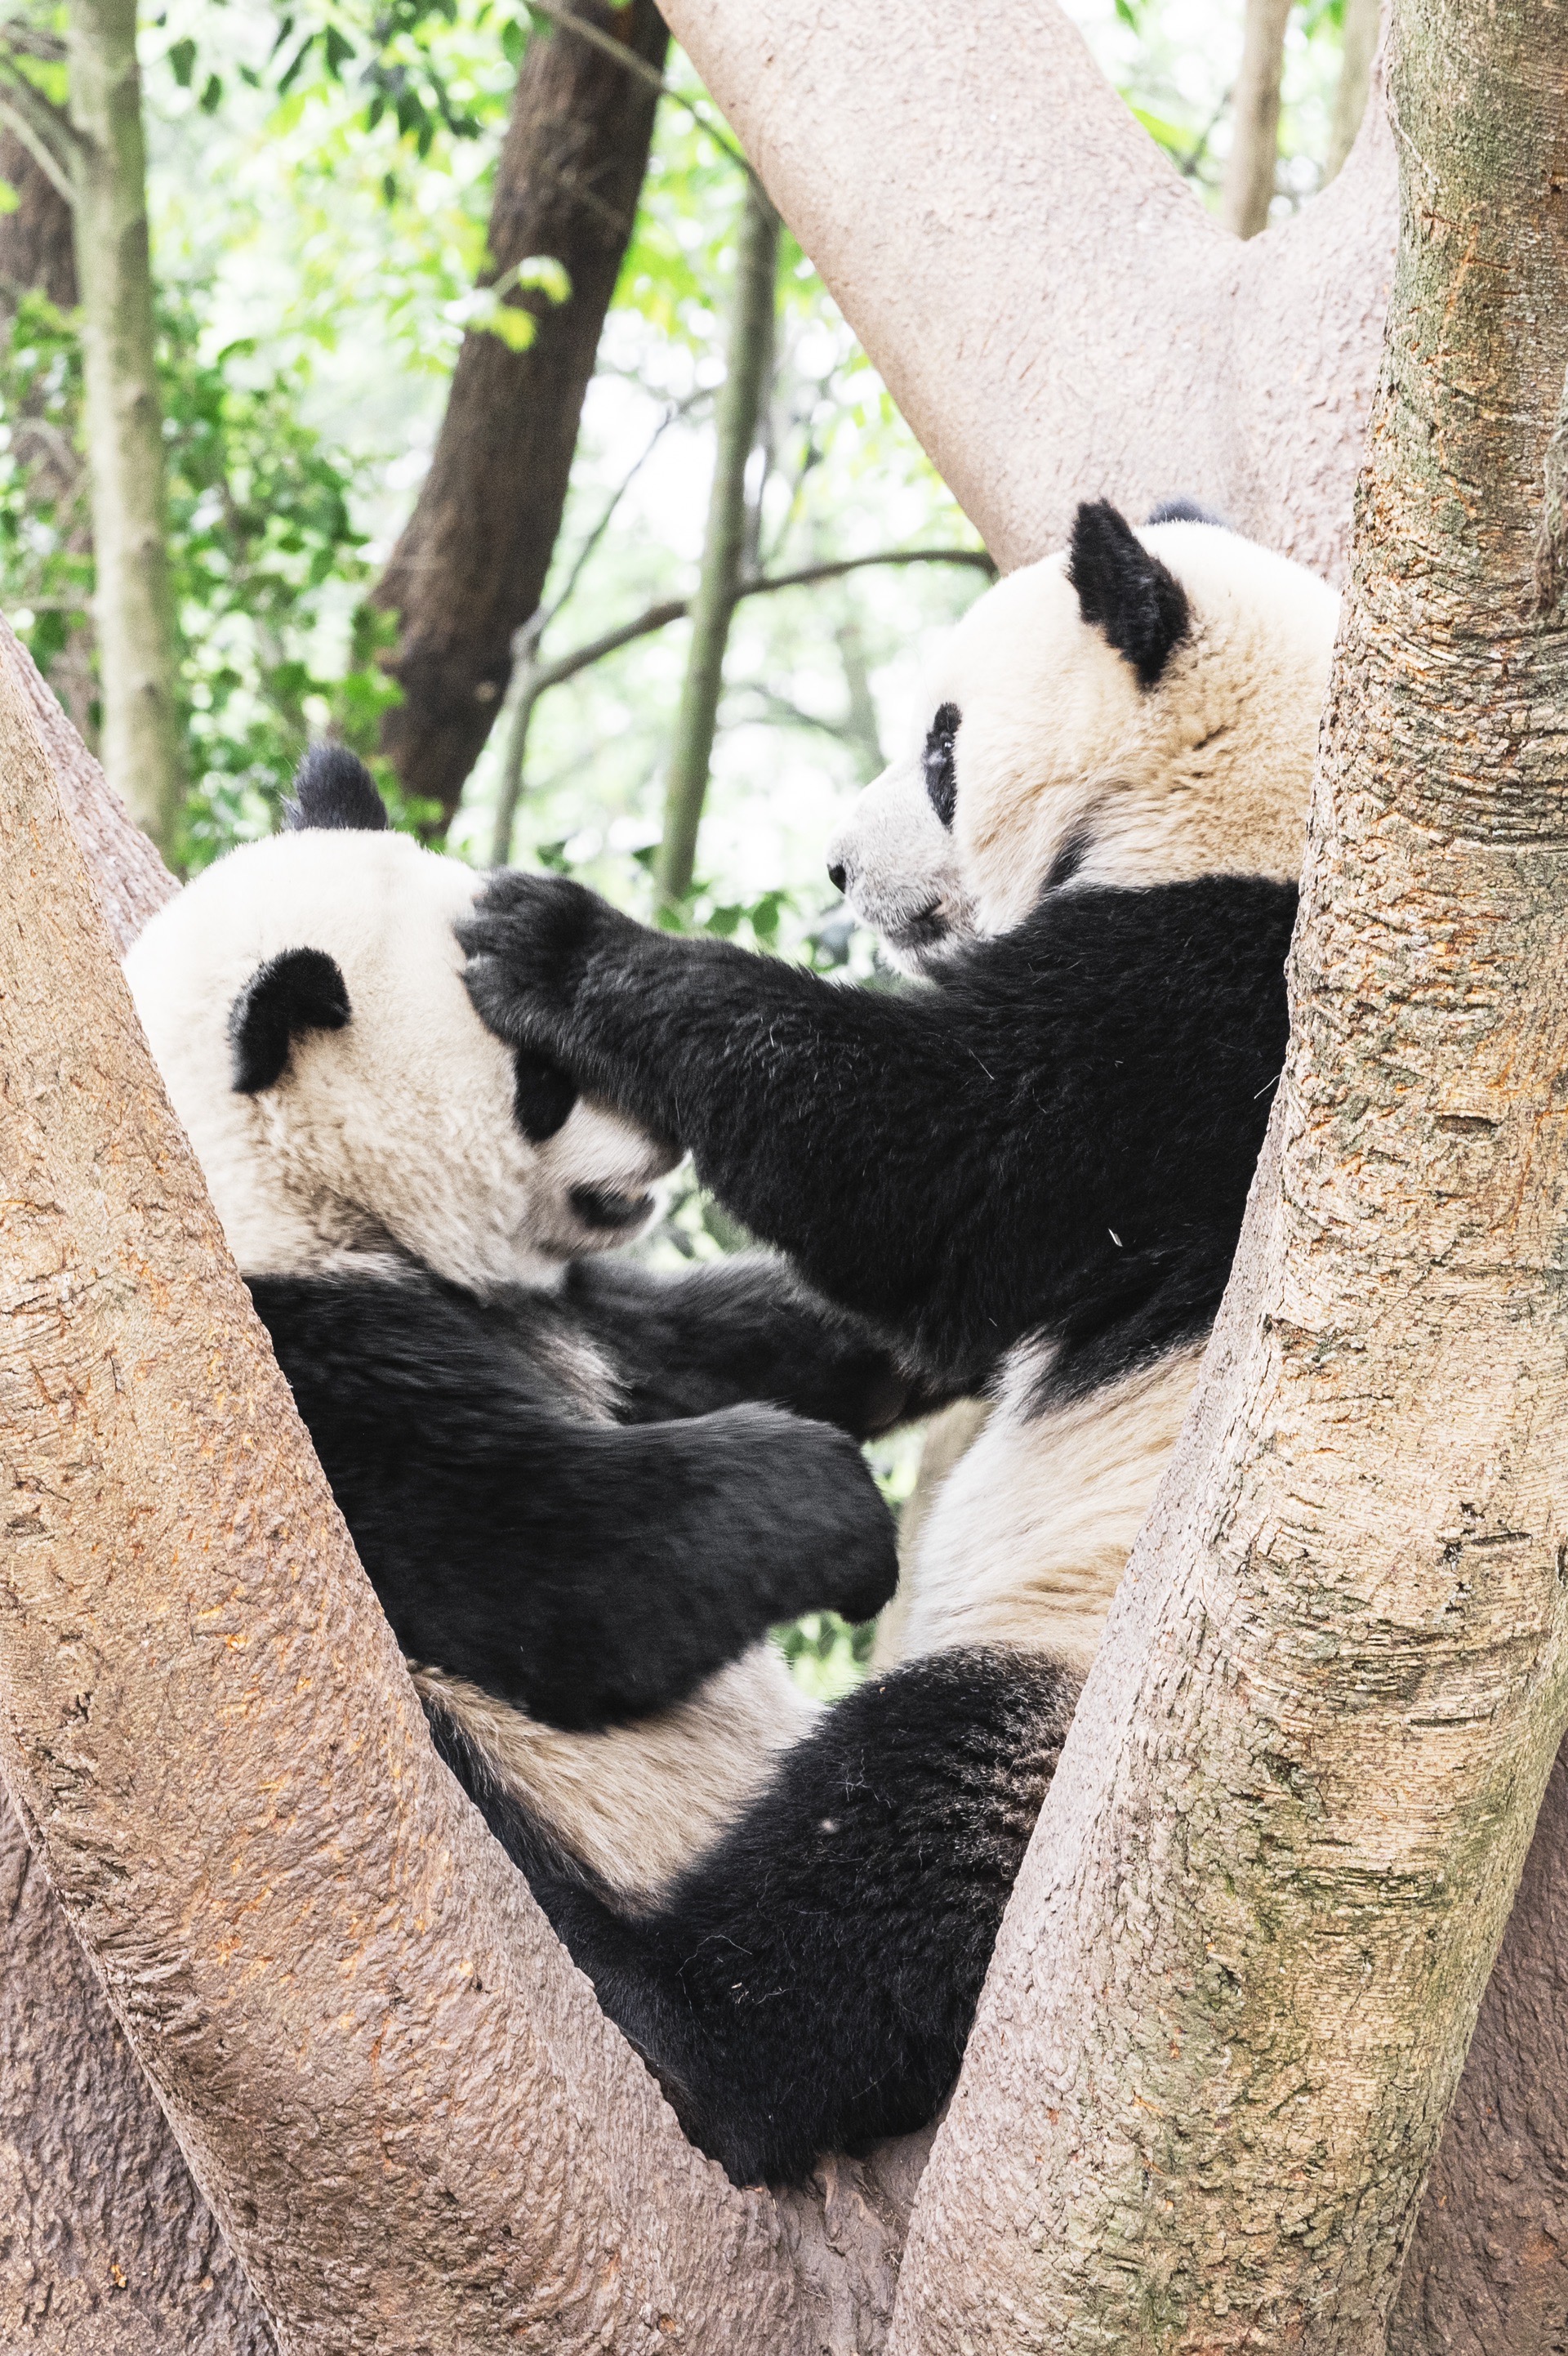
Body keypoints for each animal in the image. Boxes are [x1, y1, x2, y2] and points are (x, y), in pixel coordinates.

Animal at [128, 744, 927, 1903]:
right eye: (541, 1080)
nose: (663, 1139)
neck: (282, 1186)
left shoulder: (544, 1309)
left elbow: (690, 1348)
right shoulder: (294, 1374)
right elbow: (568, 1574)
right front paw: (849, 1514)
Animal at [449, 502, 1327, 2186]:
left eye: (940, 743)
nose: (843, 867)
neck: (1274, 786)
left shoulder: (1237, 1006)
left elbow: (937, 1164)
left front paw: (552, 941)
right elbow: (895, 1323)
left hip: (1091, 1692)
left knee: (903, 1840)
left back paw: (678, 2010)